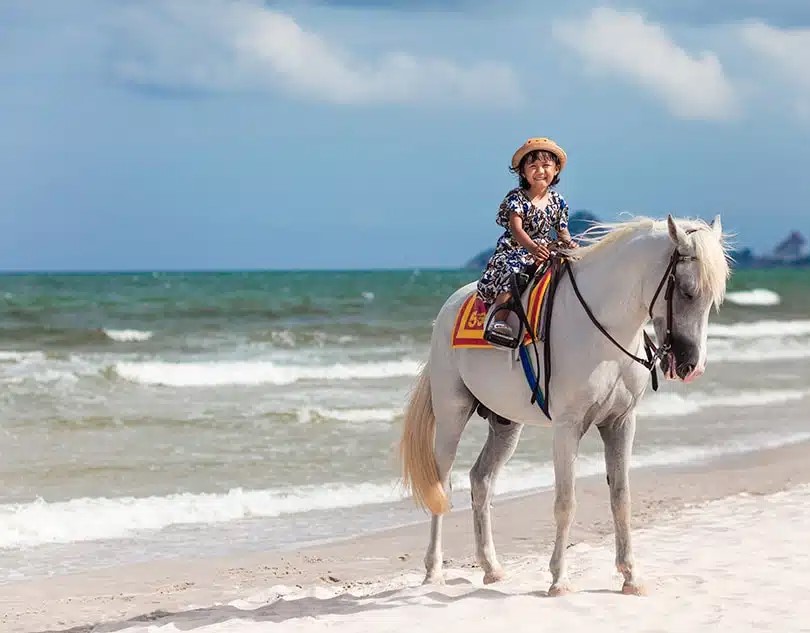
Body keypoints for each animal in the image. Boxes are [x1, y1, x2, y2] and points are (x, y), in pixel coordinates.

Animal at [396, 215, 724, 596]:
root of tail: (448, 308)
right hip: (452, 415)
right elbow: (566, 502)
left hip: (505, 424)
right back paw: (434, 572)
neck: (603, 328)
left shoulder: (621, 423)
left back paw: (492, 568)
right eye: (686, 290)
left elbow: (622, 498)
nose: (692, 366)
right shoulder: (568, 427)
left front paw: (631, 576)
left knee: (481, 480)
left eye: (713, 299)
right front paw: (559, 580)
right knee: (441, 485)